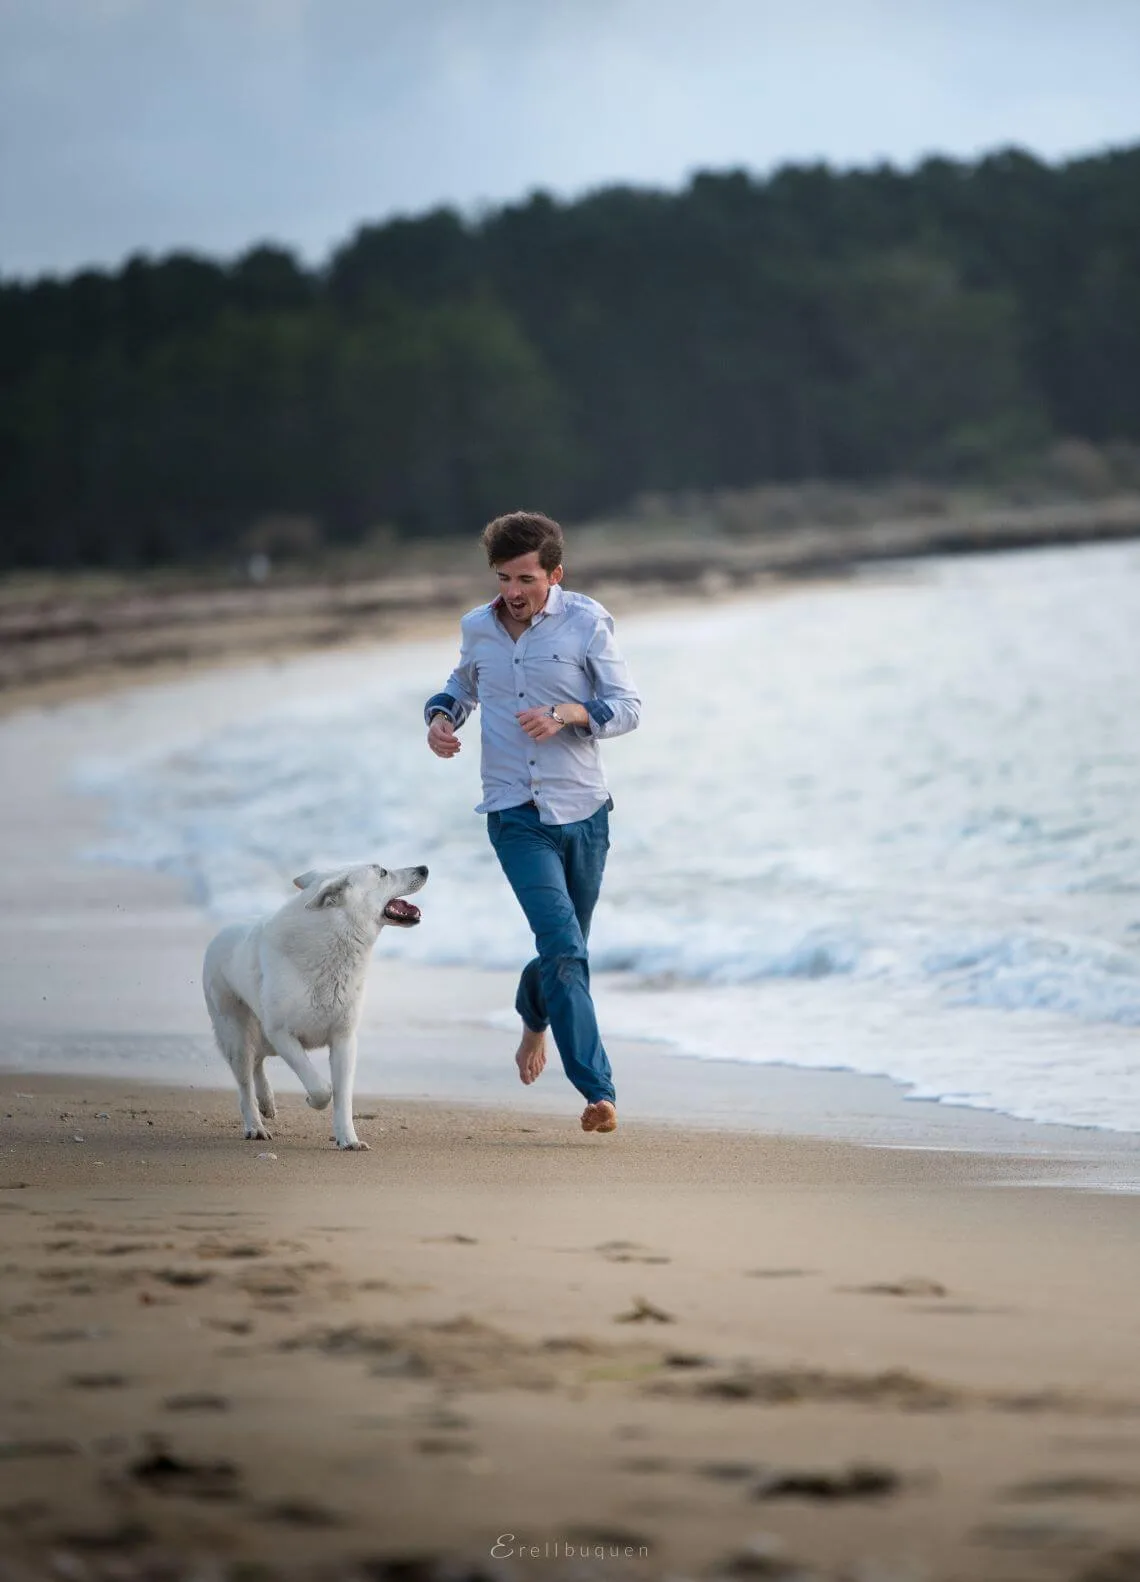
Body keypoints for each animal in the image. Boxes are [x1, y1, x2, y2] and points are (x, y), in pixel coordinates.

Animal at [200, 866, 426, 1151]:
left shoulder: (344, 1039)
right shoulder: (282, 1035)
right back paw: (255, 1126)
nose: (424, 869)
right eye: (383, 872)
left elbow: (342, 1095)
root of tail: (219, 934)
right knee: (244, 1082)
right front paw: (311, 1100)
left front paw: (348, 1140)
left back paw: (267, 1104)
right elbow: (321, 1089)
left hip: (263, 1038)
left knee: (258, 1062)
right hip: (237, 1035)